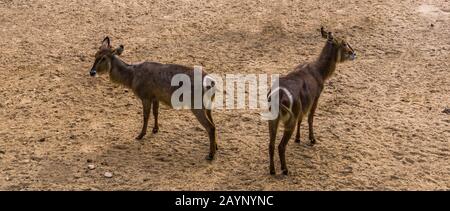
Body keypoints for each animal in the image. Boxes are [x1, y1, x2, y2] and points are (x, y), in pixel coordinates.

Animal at [88, 37, 218, 160]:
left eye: (104, 58)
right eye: (95, 55)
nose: (92, 72)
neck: (132, 77)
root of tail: (212, 83)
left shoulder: (145, 96)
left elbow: (146, 116)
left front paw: (140, 135)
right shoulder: (155, 97)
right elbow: (156, 112)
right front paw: (155, 129)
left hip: (197, 106)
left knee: (210, 127)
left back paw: (210, 155)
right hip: (208, 106)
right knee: (214, 124)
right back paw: (216, 147)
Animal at [268, 26, 358, 175]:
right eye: (344, 43)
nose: (354, 53)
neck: (318, 71)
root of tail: (279, 96)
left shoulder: (304, 105)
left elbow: (302, 118)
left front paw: (298, 138)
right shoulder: (316, 97)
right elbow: (310, 118)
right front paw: (312, 139)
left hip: (273, 121)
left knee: (270, 144)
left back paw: (272, 170)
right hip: (288, 122)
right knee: (281, 146)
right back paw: (285, 170)